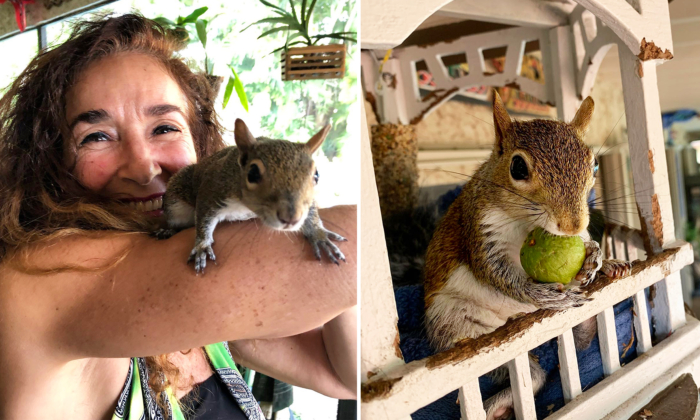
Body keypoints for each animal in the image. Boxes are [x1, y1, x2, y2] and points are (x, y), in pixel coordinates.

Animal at [157, 120, 346, 274]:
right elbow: (204, 218)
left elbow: (311, 211)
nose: (291, 218)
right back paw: (167, 230)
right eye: (253, 173)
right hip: (176, 203)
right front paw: (202, 245)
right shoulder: (212, 189)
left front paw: (319, 235)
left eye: (317, 175)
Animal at [424, 91, 632, 420]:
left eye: (595, 165)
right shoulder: (481, 228)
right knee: (529, 375)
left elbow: (587, 243)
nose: (571, 225)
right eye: (518, 168)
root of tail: (517, 316)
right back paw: (496, 405)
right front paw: (540, 293)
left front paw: (598, 257)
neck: (527, 223)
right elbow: (495, 271)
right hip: (459, 324)